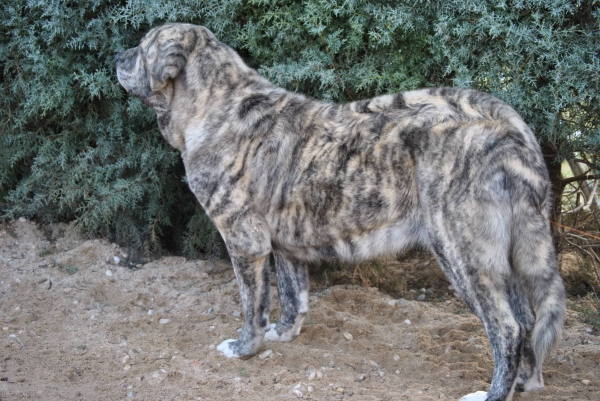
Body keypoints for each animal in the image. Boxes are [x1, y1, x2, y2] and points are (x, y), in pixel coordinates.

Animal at [115, 22, 564, 400]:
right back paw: (523, 382)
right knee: (527, 321)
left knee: (506, 328)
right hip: (506, 255)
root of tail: (505, 125)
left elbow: (253, 304)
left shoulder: (245, 240)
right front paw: (283, 335)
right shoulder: (284, 246)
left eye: (142, 47)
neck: (217, 105)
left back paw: (494, 394)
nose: (117, 58)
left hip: (464, 253)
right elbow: (293, 296)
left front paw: (245, 348)